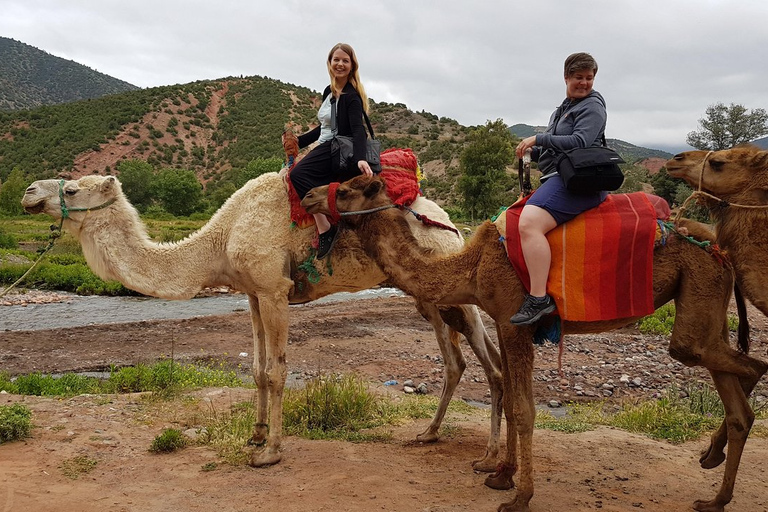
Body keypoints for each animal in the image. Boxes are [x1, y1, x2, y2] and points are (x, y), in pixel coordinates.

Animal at [21, 175, 504, 472]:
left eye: (71, 188)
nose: (27, 192)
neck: (221, 238)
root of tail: (452, 224)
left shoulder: (274, 289)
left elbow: (276, 371)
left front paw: (270, 452)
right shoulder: (251, 292)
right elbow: (255, 369)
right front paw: (255, 435)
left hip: (448, 280)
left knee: (489, 362)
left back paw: (490, 455)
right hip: (428, 298)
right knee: (457, 362)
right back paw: (430, 434)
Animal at [302, 175, 768, 512]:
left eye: (347, 188)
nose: (307, 196)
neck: (471, 265)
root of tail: (720, 246)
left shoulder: (514, 319)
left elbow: (524, 409)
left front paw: (519, 496)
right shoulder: (505, 321)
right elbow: (511, 400)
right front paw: (500, 474)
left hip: (699, 293)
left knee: (746, 365)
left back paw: (717, 474)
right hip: (705, 301)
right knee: (735, 384)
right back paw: (714, 483)